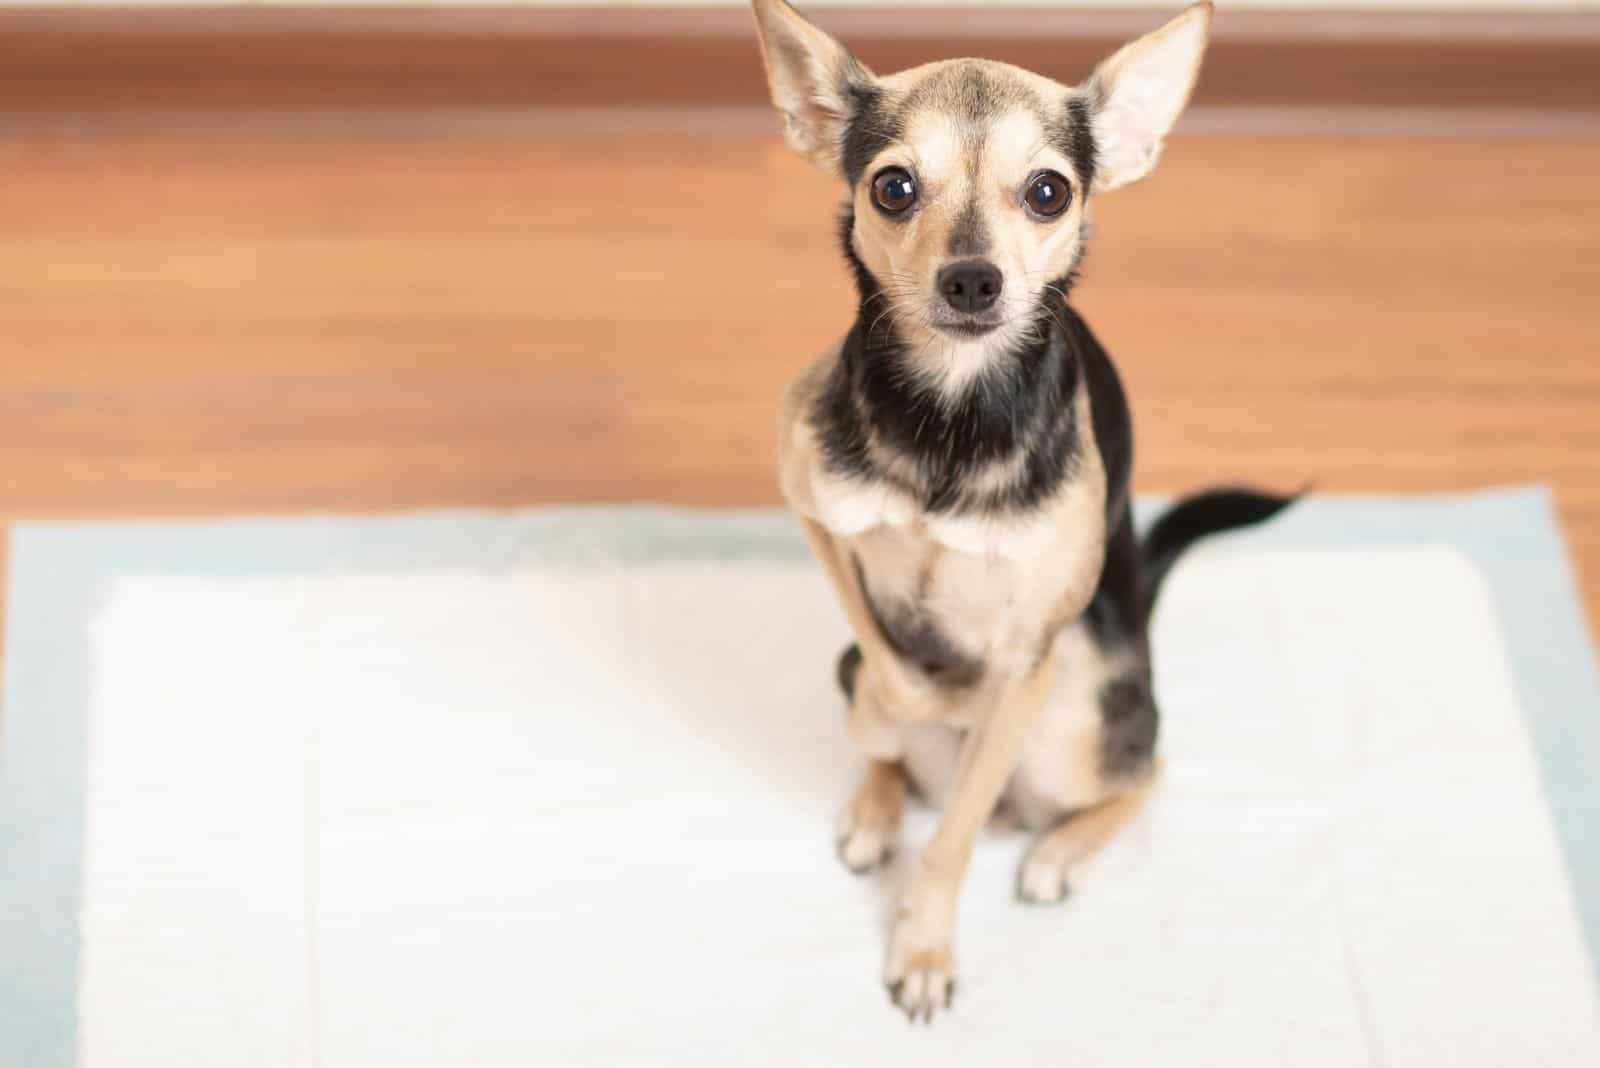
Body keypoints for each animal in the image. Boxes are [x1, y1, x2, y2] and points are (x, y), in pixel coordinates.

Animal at [755, 0, 1292, 1023]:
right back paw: (876, 807)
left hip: (1077, 717)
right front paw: (919, 702)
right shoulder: (814, 511)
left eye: (1048, 192)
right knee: (880, 724)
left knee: (1144, 769)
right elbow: (891, 669)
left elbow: (955, 835)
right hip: (858, 669)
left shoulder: (1025, 659)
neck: (949, 414)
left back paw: (1057, 851)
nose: (972, 279)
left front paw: (922, 948)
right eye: (893, 188)